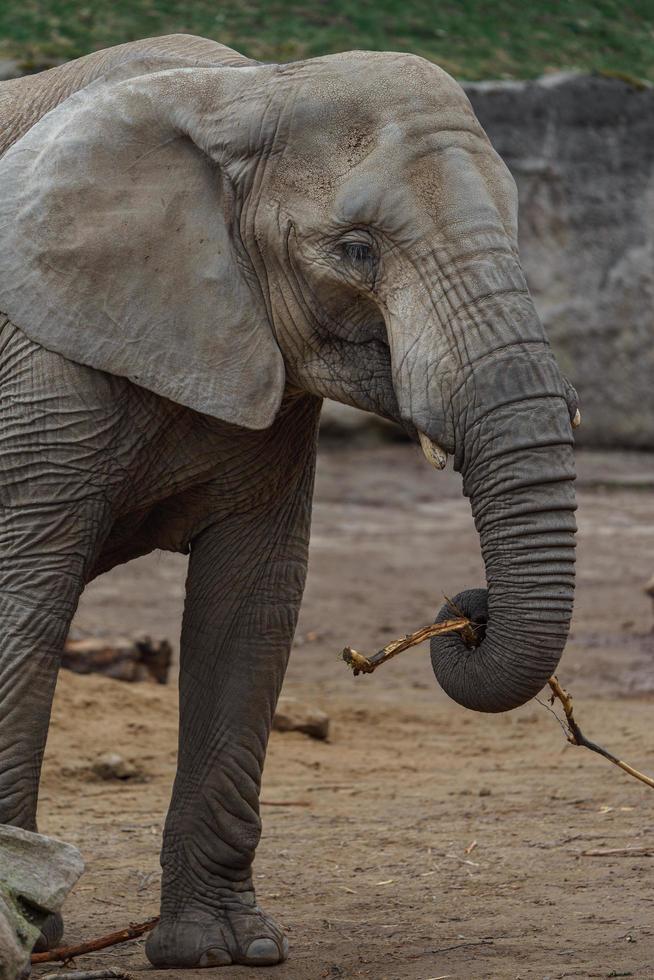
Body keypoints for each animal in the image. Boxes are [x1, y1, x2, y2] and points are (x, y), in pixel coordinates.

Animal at [0, 32, 580, 972]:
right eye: (357, 251)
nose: (469, 615)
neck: (245, 89)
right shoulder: (39, 365)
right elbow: (25, 602)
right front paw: (22, 926)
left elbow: (249, 606)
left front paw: (224, 949)